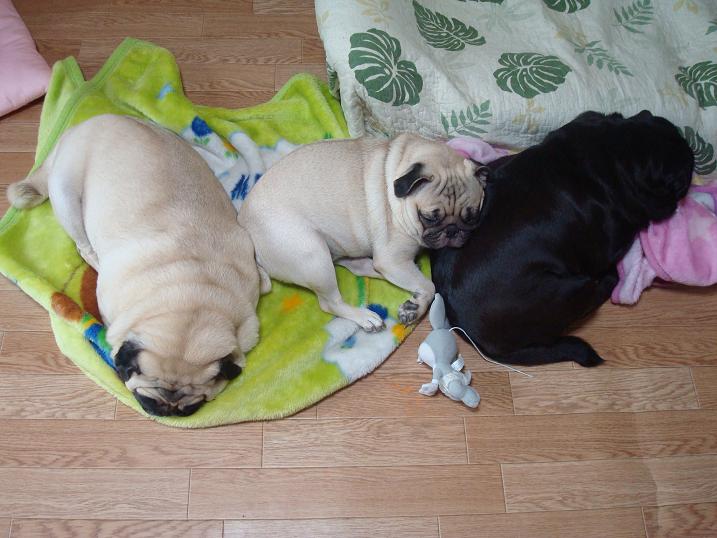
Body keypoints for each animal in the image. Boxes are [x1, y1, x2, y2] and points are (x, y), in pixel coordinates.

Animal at [8, 114, 261, 416]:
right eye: (145, 383)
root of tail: (77, 129)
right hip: (65, 193)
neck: (195, 297)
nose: (167, 409)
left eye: (190, 402)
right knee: (82, 244)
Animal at [238, 133, 487, 331]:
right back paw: (365, 316)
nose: (452, 230)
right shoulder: (392, 258)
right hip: (313, 255)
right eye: (429, 217)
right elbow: (430, 286)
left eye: (472, 217)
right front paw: (415, 308)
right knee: (330, 302)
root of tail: (245, 226)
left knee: (360, 266)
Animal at [430, 110, 694, 367]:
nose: (692, 154)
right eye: (680, 182)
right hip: (575, 285)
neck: (612, 148)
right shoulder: (607, 244)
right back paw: (610, 279)